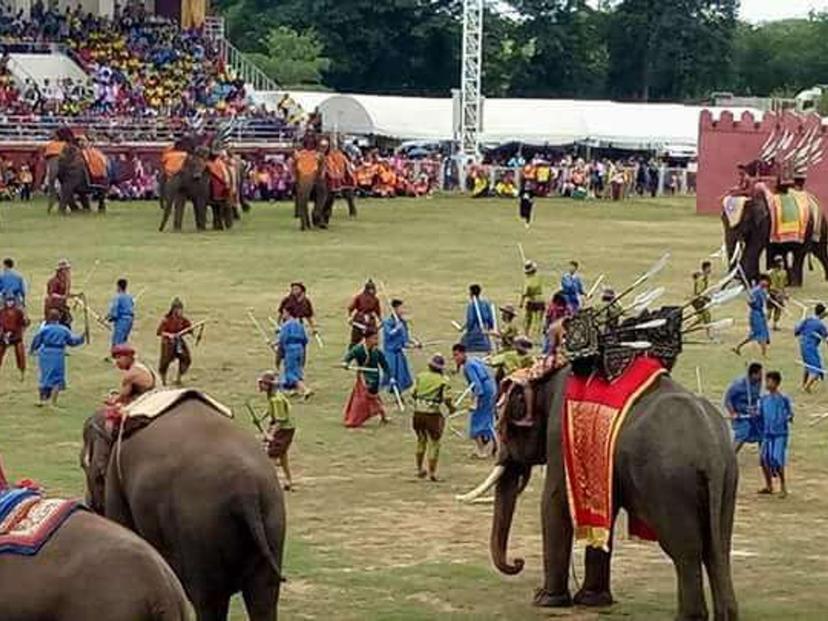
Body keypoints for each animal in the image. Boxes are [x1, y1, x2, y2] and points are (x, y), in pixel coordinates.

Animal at [81, 398, 288, 620]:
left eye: (85, 465)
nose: (89, 504)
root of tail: (246, 486)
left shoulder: (116, 481)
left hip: (200, 527)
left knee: (208, 600)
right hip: (272, 516)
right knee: (264, 596)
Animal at [462, 368, 740, 620]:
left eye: (503, 425)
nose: (518, 563)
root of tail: (712, 452)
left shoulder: (560, 436)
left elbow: (554, 502)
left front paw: (544, 600)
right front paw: (591, 600)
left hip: (671, 483)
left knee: (687, 551)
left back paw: (688, 617)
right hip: (727, 480)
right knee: (718, 549)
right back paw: (726, 614)